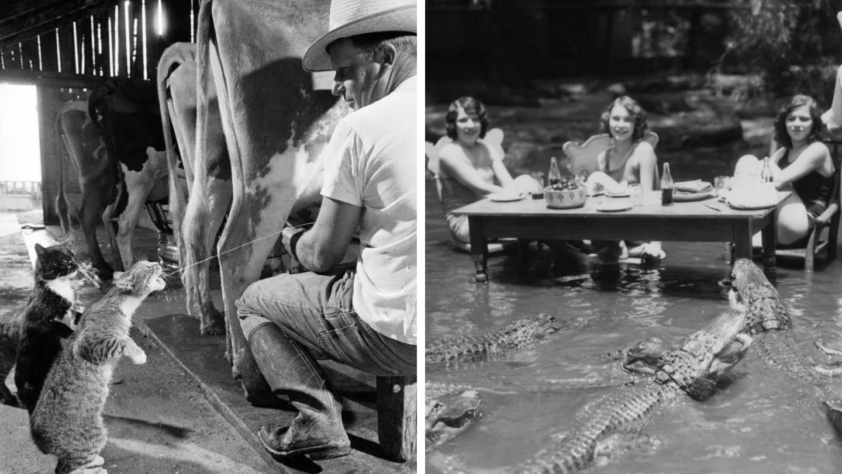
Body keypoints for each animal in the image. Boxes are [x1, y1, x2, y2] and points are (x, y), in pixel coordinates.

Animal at [30, 262, 164, 472]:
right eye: (148, 267)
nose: (158, 263)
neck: (118, 304)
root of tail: (38, 440)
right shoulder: (89, 345)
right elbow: (122, 341)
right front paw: (139, 355)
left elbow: (125, 338)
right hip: (95, 434)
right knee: (67, 468)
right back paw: (96, 469)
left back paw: (95, 461)